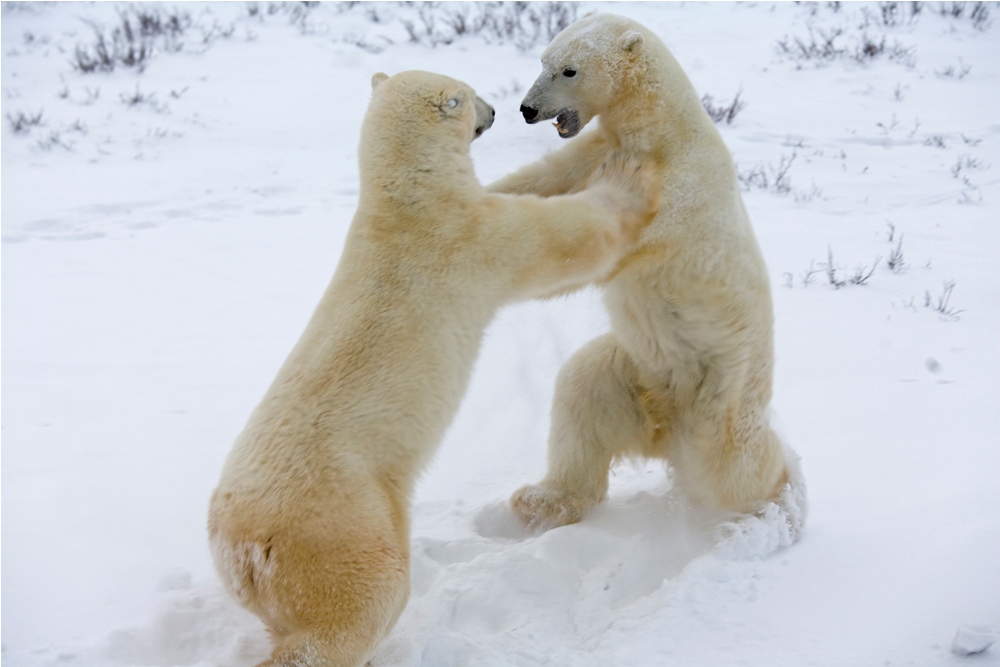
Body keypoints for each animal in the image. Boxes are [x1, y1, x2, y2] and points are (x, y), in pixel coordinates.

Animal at [207, 69, 660, 667]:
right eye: (467, 97)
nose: (496, 111)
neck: (408, 203)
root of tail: (242, 550)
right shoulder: (473, 240)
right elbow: (563, 239)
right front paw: (627, 178)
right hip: (344, 522)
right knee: (359, 606)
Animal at [488, 13, 808, 536]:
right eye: (543, 59)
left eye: (570, 70)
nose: (527, 108)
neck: (660, 132)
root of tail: (664, 429)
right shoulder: (596, 149)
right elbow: (540, 184)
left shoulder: (676, 192)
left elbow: (601, 246)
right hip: (634, 369)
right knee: (581, 395)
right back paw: (541, 500)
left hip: (722, 390)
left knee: (732, 465)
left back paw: (780, 495)